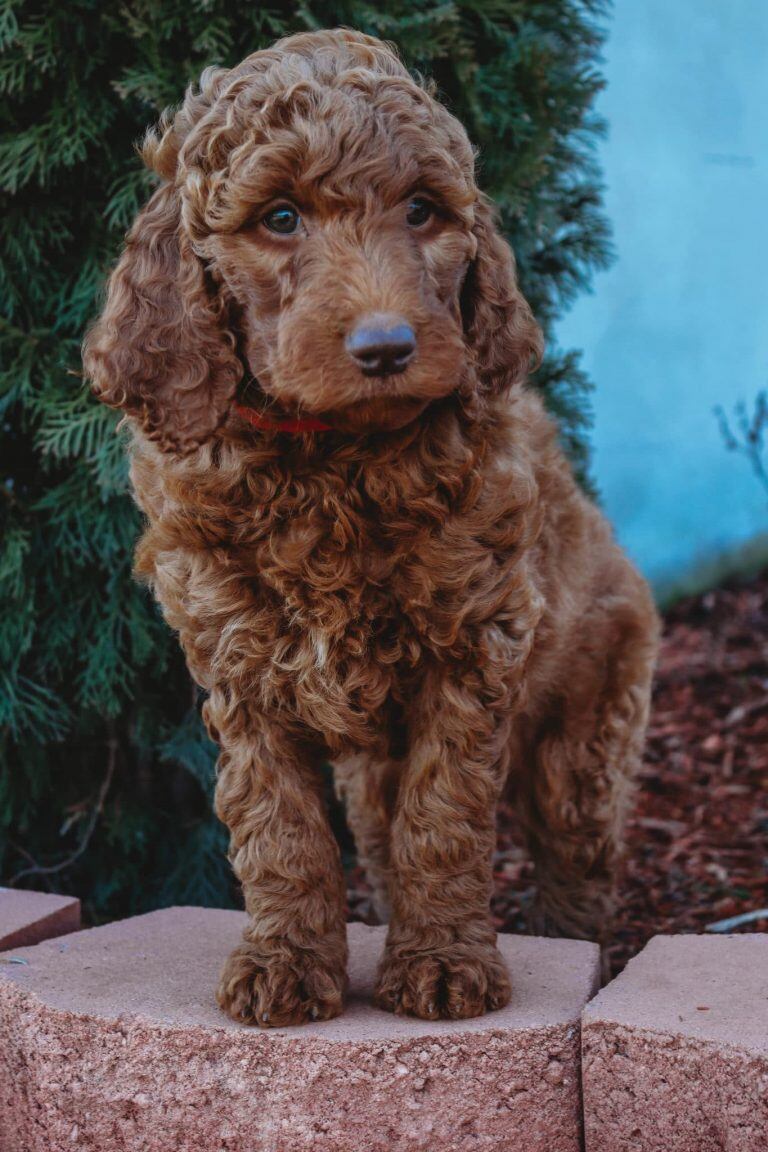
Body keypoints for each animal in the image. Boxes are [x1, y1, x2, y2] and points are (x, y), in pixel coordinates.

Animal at [84, 29, 663, 1027]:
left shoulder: (474, 643)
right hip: (368, 760)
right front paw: (284, 963)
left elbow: (444, 817)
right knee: (380, 833)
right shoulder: (238, 656)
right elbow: (278, 824)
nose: (388, 349)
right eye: (279, 217)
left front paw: (445, 965)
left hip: (590, 714)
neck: (328, 459)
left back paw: (561, 938)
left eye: (424, 211)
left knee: (572, 845)